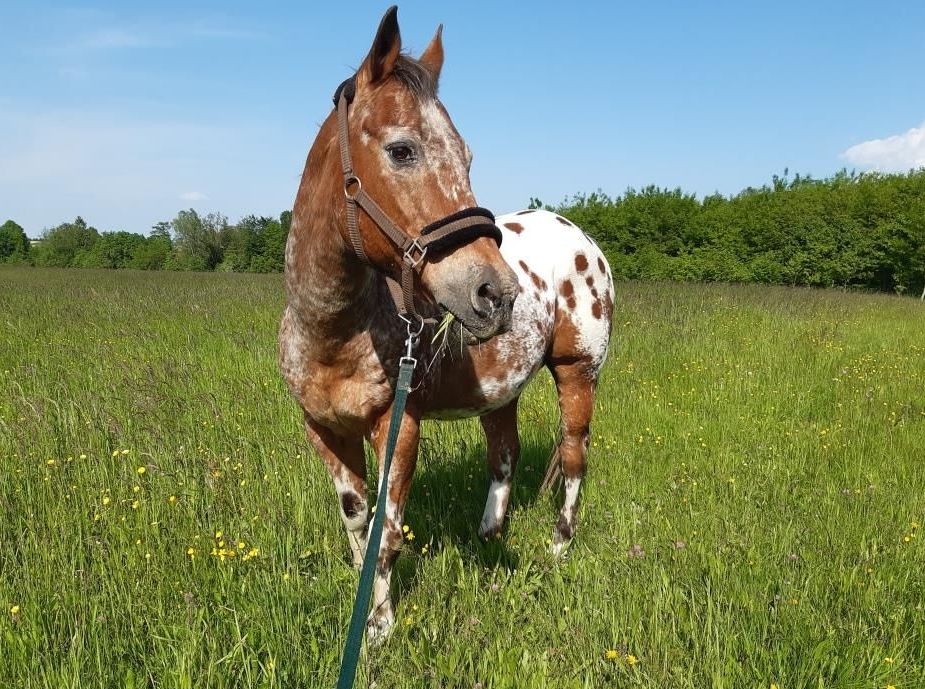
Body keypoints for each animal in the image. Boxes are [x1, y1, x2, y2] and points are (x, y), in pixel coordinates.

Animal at [279, 6, 613, 642]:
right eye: (402, 150)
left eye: (467, 156)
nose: (496, 292)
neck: (332, 332)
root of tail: (580, 237)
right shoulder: (324, 430)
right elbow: (356, 519)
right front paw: (364, 596)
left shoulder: (398, 427)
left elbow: (385, 530)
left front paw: (379, 626)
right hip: (502, 388)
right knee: (504, 454)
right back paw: (489, 537)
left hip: (576, 371)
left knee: (574, 455)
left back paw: (558, 547)